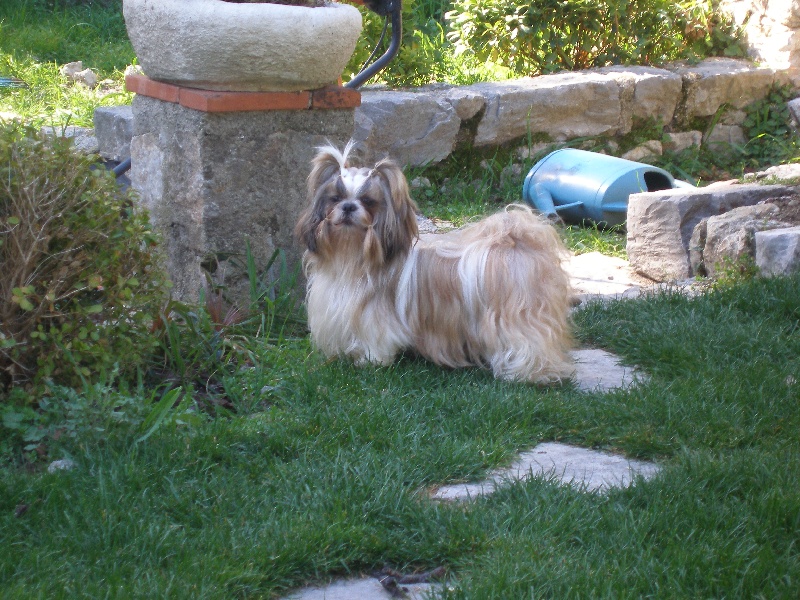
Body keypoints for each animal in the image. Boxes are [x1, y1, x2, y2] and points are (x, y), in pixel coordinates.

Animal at [294, 143, 576, 382]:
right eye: (335, 198)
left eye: (368, 201)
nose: (349, 207)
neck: (351, 257)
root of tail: (518, 240)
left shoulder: (374, 320)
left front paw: (370, 361)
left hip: (519, 316)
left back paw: (527, 373)